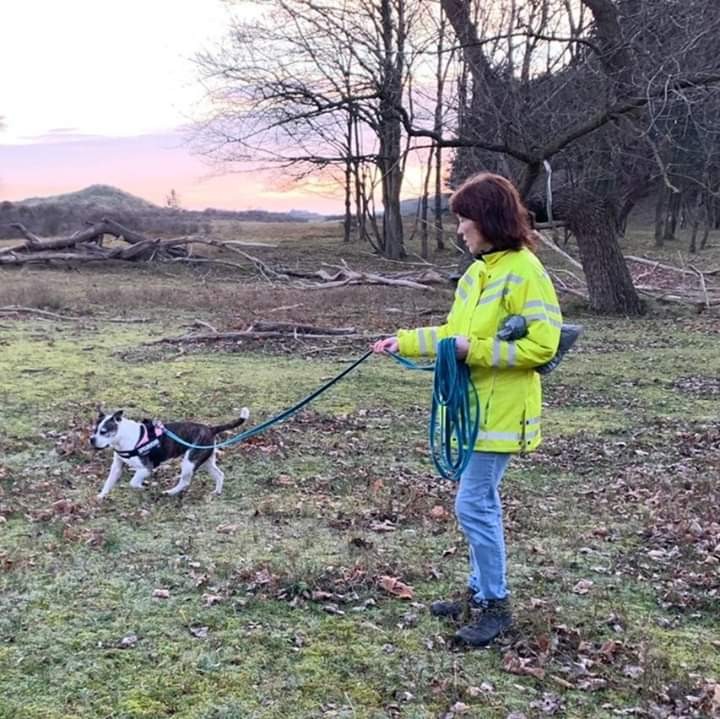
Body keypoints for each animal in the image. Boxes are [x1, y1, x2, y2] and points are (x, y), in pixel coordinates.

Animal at [90, 404, 250, 500]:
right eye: (94, 430)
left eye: (103, 432)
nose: (91, 440)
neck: (123, 437)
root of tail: (210, 429)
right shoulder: (116, 467)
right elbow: (109, 482)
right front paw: (101, 496)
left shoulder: (146, 468)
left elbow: (133, 482)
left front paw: (143, 486)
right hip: (205, 461)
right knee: (219, 474)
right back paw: (217, 492)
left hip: (189, 462)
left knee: (185, 481)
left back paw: (171, 492)